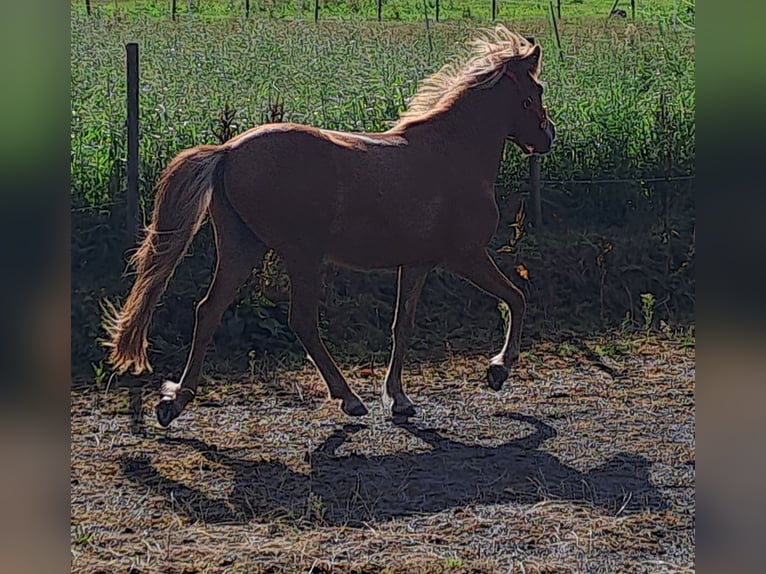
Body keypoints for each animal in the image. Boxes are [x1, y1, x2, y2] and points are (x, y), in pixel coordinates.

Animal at [105, 28, 556, 432]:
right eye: (537, 90)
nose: (547, 136)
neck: (453, 151)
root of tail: (228, 151)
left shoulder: (416, 263)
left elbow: (402, 326)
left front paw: (399, 398)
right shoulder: (465, 256)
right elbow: (517, 298)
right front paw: (497, 370)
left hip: (241, 247)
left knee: (208, 311)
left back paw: (174, 402)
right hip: (301, 256)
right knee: (301, 321)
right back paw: (349, 399)